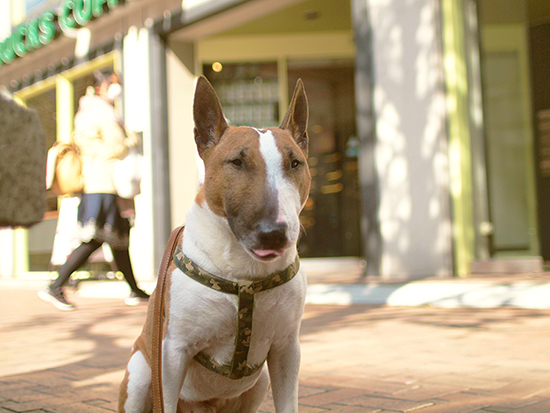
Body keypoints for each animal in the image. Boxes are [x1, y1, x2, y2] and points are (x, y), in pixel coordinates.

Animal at [118, 75, 312, 412]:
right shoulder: (172, 354)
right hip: (141, 374)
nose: (274, 233)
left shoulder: (287, 349)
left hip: (259, 383)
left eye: (295, 163)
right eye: (236, 162)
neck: (245, 273)